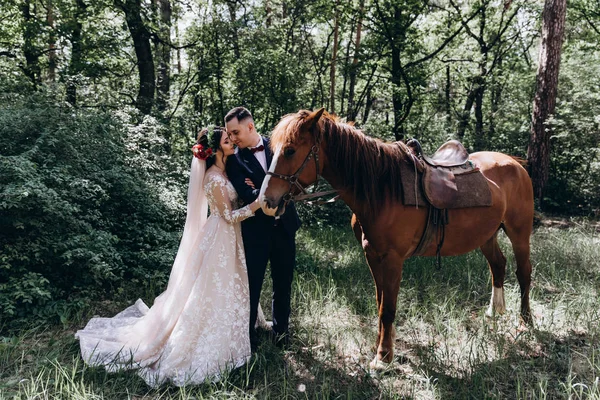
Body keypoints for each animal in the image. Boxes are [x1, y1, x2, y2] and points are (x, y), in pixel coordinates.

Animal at [258, 108, 536, 368]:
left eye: (290, 150)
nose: (266, 201)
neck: (382, 189)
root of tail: (514, 163)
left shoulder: (393, 259)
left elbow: (388, 308)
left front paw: (383, 357)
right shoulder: (372, 255)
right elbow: (380, 302)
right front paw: (382, 345)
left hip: (519, 233)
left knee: (523, 273)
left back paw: (525, 323)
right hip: (487, 235)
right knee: (498, 265)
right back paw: (494, 312)